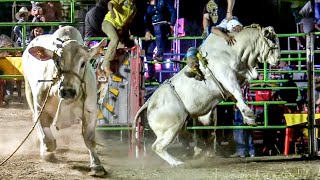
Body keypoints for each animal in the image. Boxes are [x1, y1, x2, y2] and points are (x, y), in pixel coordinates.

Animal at [22, 26, 108, 176]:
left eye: (83, 63)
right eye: (57, 62)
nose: (67, 91)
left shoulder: (90, 111)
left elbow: (90, 139)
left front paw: (97, 165)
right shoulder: (40, 109)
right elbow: (48, 139)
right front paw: (46, 151)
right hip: (28, 89)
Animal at [134, 24, 282, 167]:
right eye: (272, 39)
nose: (278, 58)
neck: (234, 50)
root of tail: (149, 103)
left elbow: (237, 98)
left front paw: (248, 118)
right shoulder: (227, 76)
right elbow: (238, 92)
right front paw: (250, 113)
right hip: (172, 127)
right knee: (157, 147)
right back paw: (177, 163)